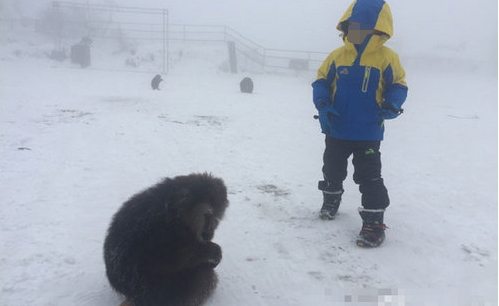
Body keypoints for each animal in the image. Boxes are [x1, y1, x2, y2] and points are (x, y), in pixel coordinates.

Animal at [105, 173, 230, 304]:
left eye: (216, 217)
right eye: (206, 216)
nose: (209, 232)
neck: (175, 212)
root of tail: (133, 296)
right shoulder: (165, 231)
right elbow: (173, 259)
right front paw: (213, 251)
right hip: (165, 293)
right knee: (206, 276)